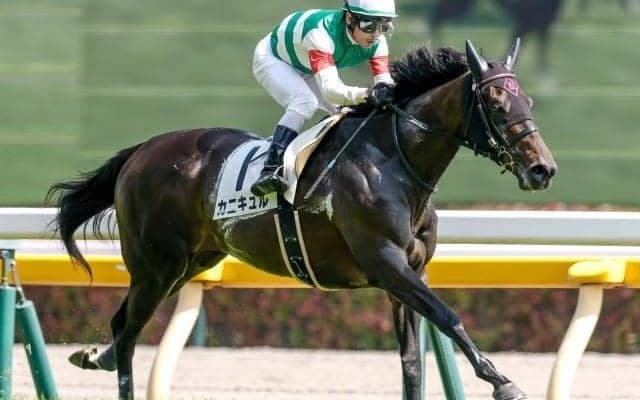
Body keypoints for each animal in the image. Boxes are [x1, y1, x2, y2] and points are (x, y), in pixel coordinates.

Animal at [47, 39, 556, 400]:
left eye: (528, 101)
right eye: (495, 102)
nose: (543, 169)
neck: (392, 160)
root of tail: (141, 151)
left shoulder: (411, 269)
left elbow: (413, 361)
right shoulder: (385, 262)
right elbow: (449, 317)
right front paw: (504, 382)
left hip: (189, 263)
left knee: (122, 326)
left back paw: (96, 356)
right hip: (157, 266)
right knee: (129, 331)